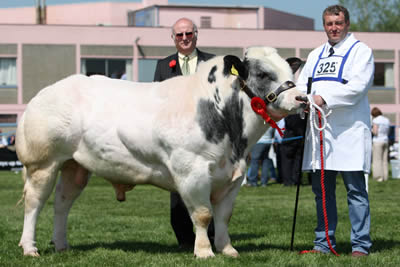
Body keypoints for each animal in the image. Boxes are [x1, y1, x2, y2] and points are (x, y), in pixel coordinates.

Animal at [14, 46, 304, 260]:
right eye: (263, 73)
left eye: (289, 69)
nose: (301, 98)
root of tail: (45, 93)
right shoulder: (191, 171)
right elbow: (203, 214)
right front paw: (204, 252)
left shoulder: (234, 176)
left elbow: (223, 216)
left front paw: (228, 249)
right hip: (43, 162)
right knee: (35, 202)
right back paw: (30, 248)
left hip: (75, 166)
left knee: (62, 203)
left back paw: (62, 244)